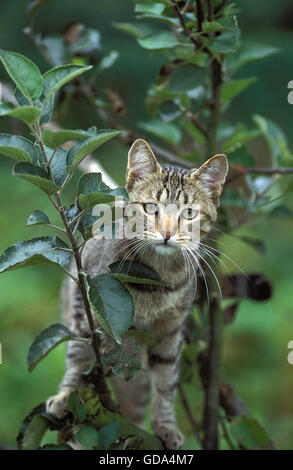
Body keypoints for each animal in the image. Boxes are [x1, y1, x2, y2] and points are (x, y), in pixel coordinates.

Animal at [46, 138, 228, 450]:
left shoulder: (171, 330)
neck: (157, 278)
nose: (167, 233)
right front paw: (66, 395)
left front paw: (165, 424)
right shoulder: (86, 308)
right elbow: (78, 356)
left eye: (189, 213)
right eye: (151, 207)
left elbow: (166, 381)